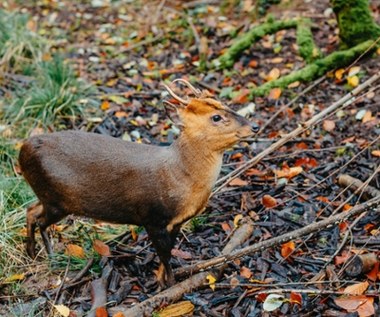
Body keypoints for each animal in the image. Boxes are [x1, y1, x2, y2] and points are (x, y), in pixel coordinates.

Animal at [19, 78, 260, 286]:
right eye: (216, 117)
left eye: (224, 104)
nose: (254, 127)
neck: (180, 176)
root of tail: (22, 150)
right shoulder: (152, 216)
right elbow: (164, 253)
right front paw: (169, 285)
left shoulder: (176, 221)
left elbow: (168, 251)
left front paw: (161, 279)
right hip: (57, 199)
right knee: (40, 220)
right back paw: (49, 255)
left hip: (48, 197)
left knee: (31, 210)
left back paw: (33, 253)